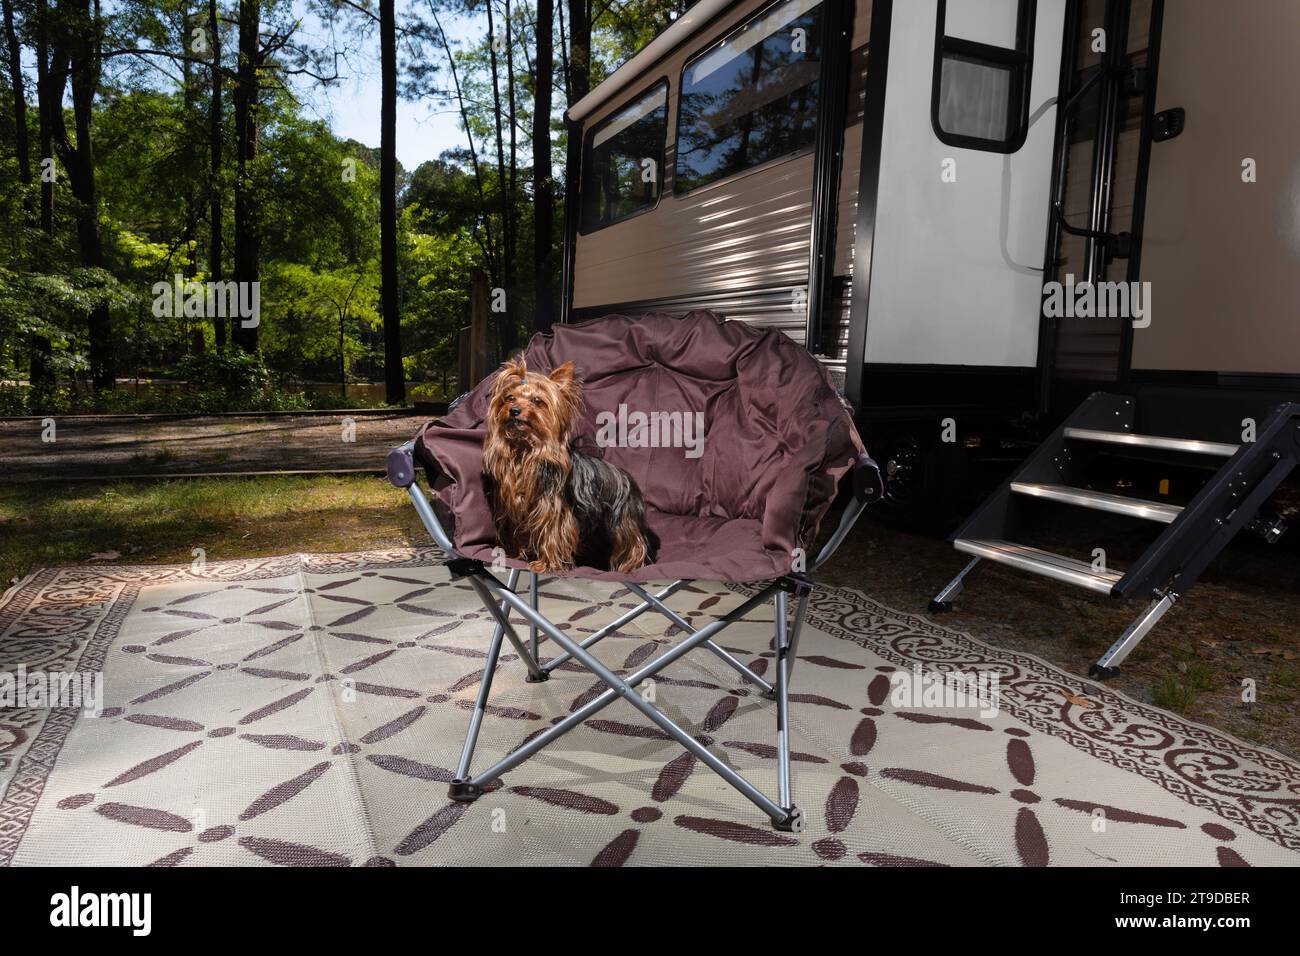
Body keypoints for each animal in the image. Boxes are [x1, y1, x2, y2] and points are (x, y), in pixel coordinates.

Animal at [483, 356, 655, 572]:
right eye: (510, 398)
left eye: (537, 401)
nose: (514, 411)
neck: (526, 450)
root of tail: (627, 478)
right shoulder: (518, 507)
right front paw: (518, 554)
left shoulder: (555, 510)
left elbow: (553, 533)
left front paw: (546, 563)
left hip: (623, 520)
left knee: (633, 543)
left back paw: (630, 566)